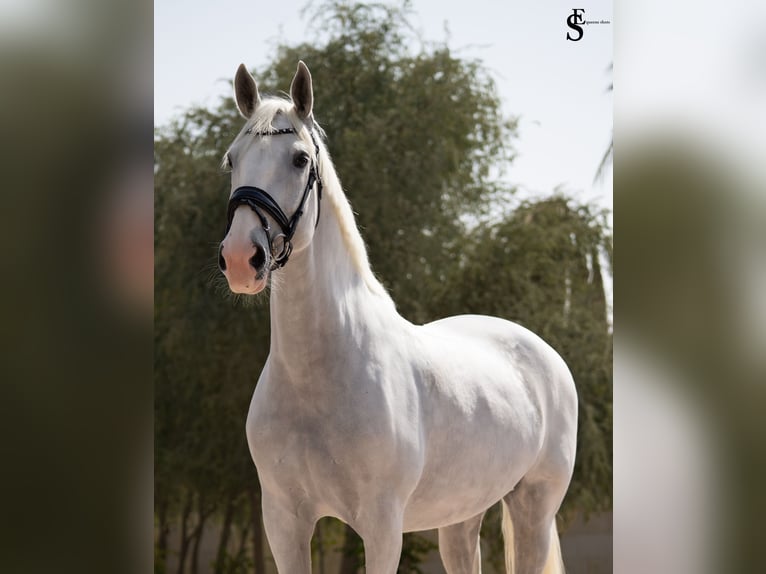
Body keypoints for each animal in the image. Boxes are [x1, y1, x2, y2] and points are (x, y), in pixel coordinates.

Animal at [218, 61, 578, 574]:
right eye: (232, 160)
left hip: (534, 509)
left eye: (300, 160)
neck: (318, 375)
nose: (241, 259)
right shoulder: (284, 522)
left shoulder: (382, 526)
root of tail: (546, 354)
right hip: (462, 516)